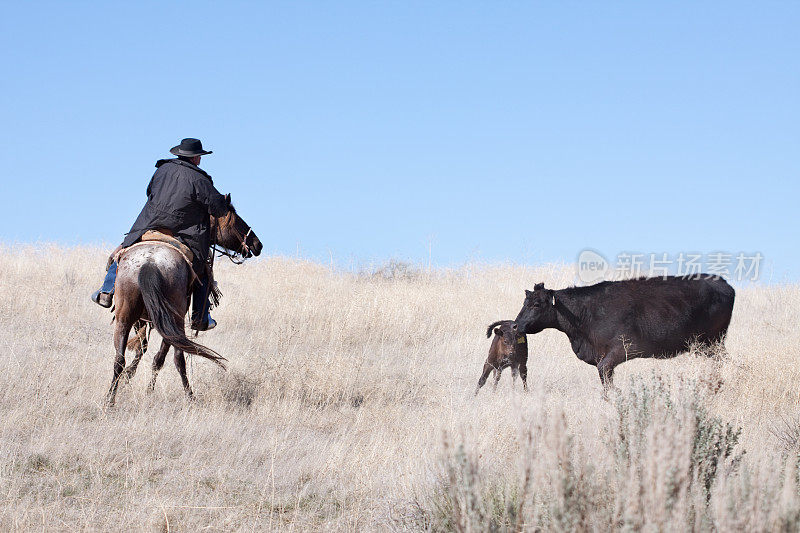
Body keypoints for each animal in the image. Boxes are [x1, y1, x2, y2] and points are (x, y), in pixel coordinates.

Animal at [105, 208, 262, 404]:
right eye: (235, 220)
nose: (257, 244)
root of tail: (150, 263)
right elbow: (158, 357)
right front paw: (147, 389)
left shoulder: (141, 319)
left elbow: (142, 347)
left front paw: (129, 377)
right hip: (174, 319)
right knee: (177, 358)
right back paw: (190, 396)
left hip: (124, 318)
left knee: (119, 359)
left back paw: (110, 399)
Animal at [516, 274, 736, 386]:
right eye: (525, 302)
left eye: (536, 304)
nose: (516, 325)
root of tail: (723, 282)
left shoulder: (623, 348)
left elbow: (604, 372)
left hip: (713, 342)